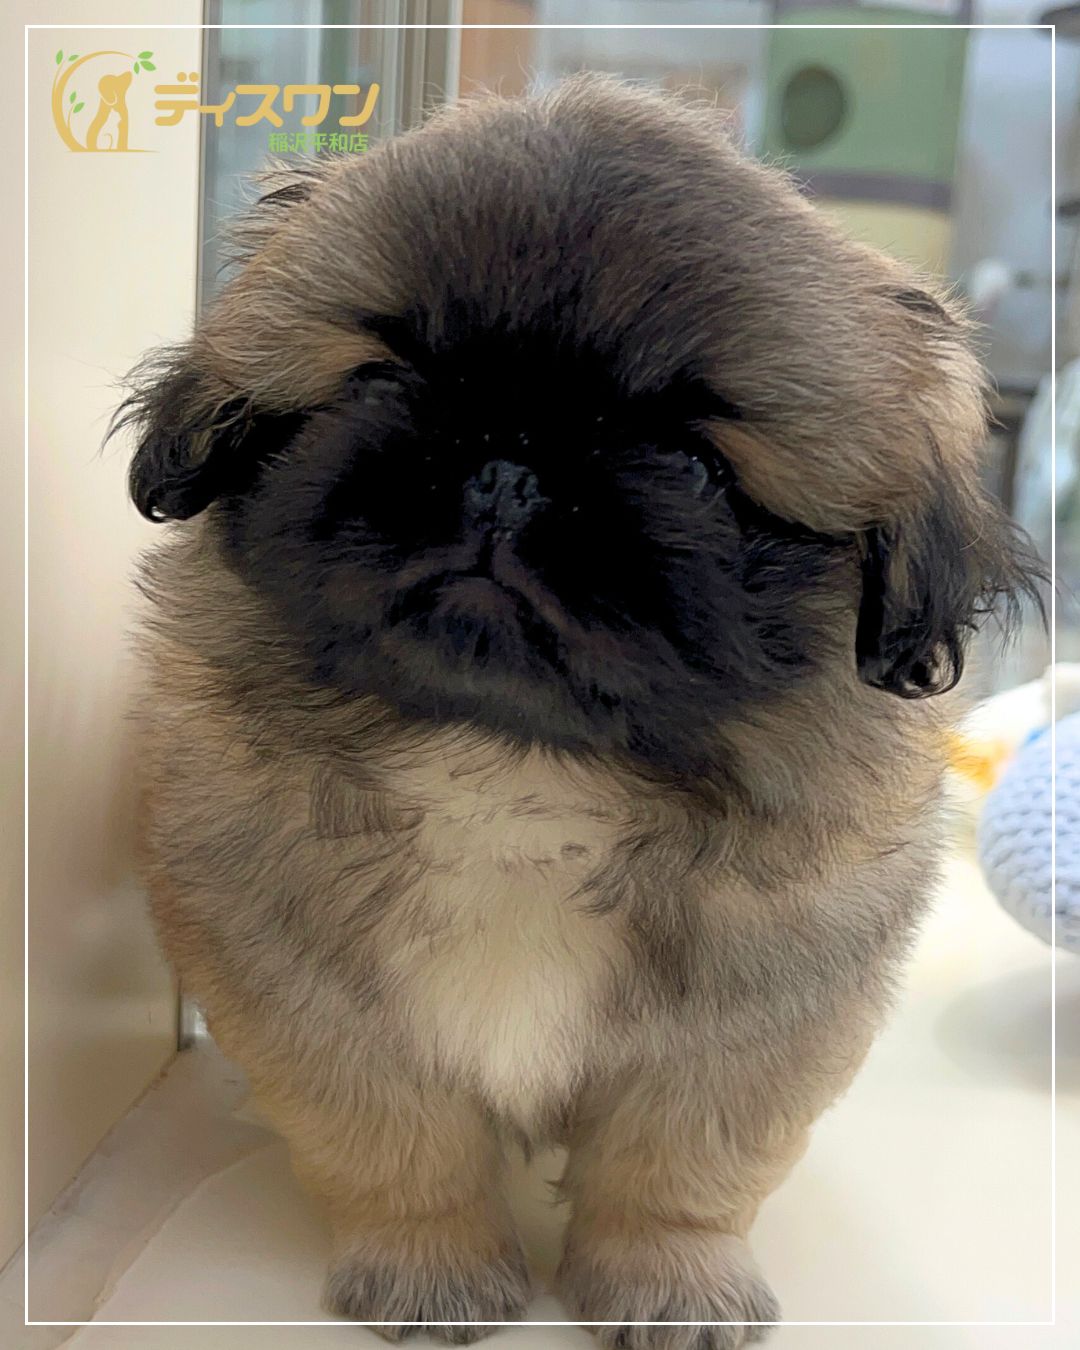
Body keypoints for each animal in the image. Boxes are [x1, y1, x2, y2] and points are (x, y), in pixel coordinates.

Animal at [114, 75, 1042, 1347]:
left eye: (697, 467)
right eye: (381, 379)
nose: (506, 469)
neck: (519, 763)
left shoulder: (745, 1025)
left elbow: (677, 1171)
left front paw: (671, 1283)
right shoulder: (315, 997)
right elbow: (400, 1147)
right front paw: (433, 1271)